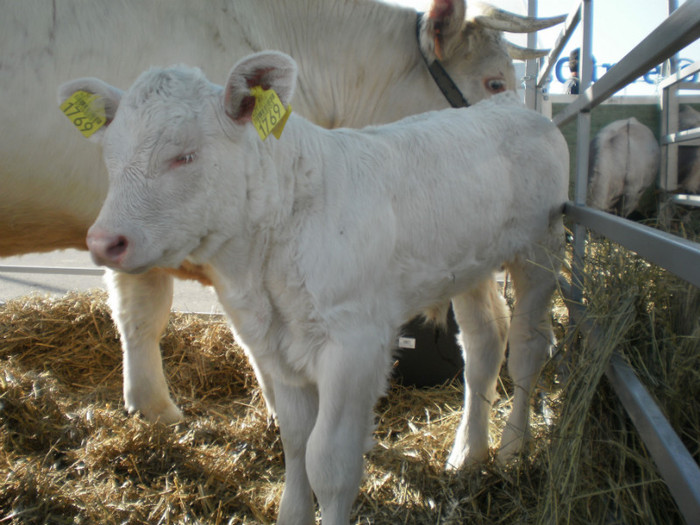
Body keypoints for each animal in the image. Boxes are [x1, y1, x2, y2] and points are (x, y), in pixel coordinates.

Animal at [61, 50, 568, 524]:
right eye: (110, 157)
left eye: (183, 155)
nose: (104, 241)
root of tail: (509, 104)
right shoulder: (275, 345)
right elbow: (297, 442)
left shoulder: (354, 344)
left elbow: (329, 462)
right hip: (470, 267)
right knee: (484, 344)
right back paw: (468, 454)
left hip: (540, 251)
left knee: (527, 347)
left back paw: (513, 447)